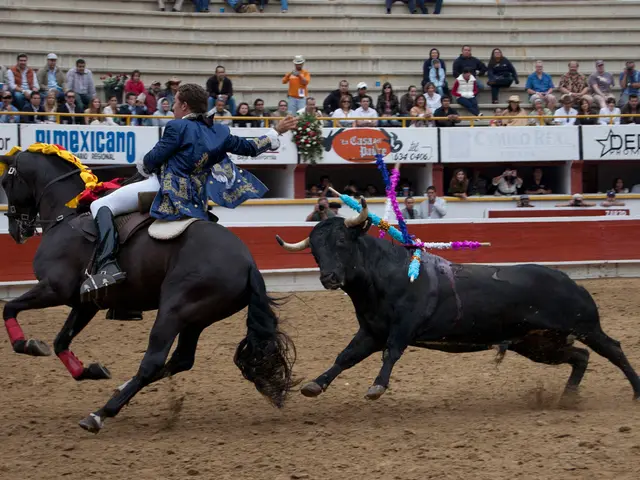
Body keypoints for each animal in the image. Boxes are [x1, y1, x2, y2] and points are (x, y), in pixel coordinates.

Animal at [276, 198, 640, 403]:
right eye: (314, 250)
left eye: (341, 241)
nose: (328, 278)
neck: (384, 277)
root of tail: (570, 281)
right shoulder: (371, 331)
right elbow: (345, 357)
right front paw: (315, 385)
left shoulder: (403, 327)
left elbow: (391, 354)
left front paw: (376, 388)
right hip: (537, 343)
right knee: (579, 357)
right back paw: (567, 397)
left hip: (584, 325)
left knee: (613, 349)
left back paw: (636, 391)